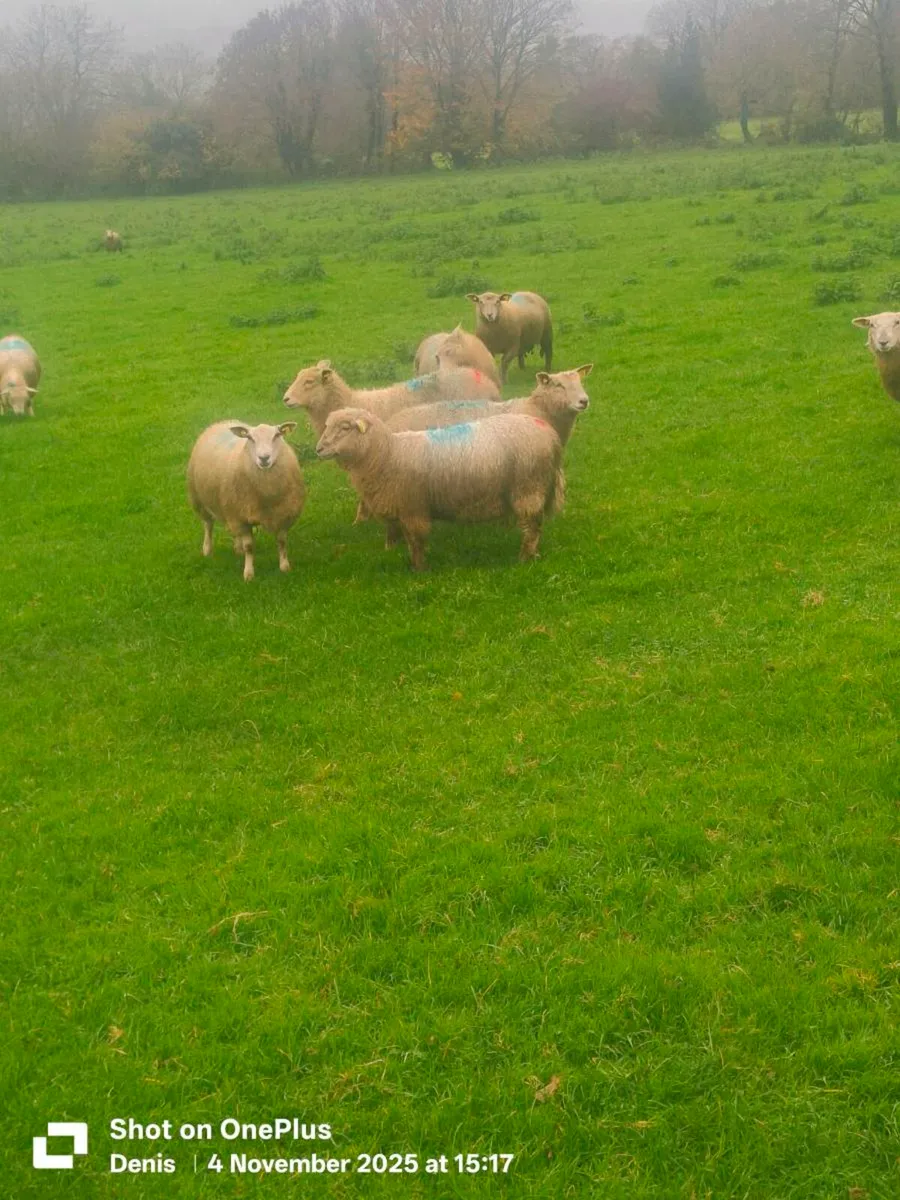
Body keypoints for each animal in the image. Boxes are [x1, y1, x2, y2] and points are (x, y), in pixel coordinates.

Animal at [186, 420, 304, 581]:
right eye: (250, 438)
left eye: (277, 435)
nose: (264, 458)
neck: (267, 495)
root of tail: (224, 421)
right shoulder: (241, 518)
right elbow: (249, 547)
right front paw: (248, 573)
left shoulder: (284, 514)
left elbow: (282, 542)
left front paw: (284, 566)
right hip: (199, 501)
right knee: (208, 526)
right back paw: (207, 550)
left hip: (230, 507)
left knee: (233, 532)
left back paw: (237, 549)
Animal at [315, 407, 564, 571]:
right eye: (327, 426)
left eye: (345, 428)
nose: (318, 449)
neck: (387, 454)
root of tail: (551, 435)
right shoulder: (401, 506)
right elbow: (401, 535)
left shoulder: (413, 509)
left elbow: (416, 540)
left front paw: (419, 569)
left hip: (529, 488)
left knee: (532, 527)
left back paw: (524, 558)